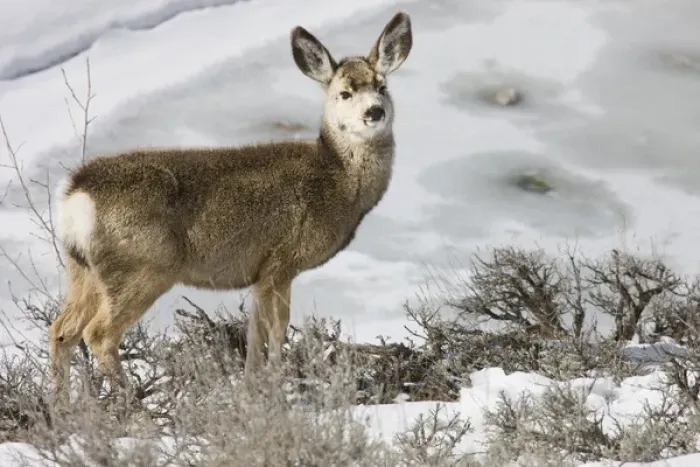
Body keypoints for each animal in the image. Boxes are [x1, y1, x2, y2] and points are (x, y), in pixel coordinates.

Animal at [49, 12, 413, 403]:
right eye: (344, 93)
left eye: (382, 86)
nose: (374, 111)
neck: (336, 182)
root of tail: (76, 194)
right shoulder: (281, 259)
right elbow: (274, 330)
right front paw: (271, 390)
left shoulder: (264, 270)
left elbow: (258, 332)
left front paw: (256, 389)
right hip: (142, 265)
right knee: (99, 334)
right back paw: (134, 404)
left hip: (82, 269)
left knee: (61, 330)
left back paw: (63, 409)